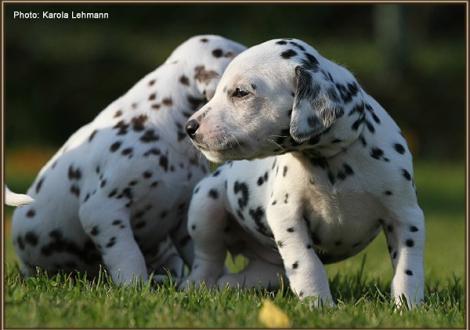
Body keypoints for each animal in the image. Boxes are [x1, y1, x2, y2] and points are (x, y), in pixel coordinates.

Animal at [184, 38, 426, 310]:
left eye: (241, 92)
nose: (189, 127)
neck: (331, 160)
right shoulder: (287, 216)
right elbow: (307, 263)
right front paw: (318, 304)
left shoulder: (405, 216)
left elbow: (408, 268)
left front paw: (408, 306)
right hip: (205, 206)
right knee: (208, 258)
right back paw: (197, 285)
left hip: (265, 266)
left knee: (255, 276)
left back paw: (229, 285)